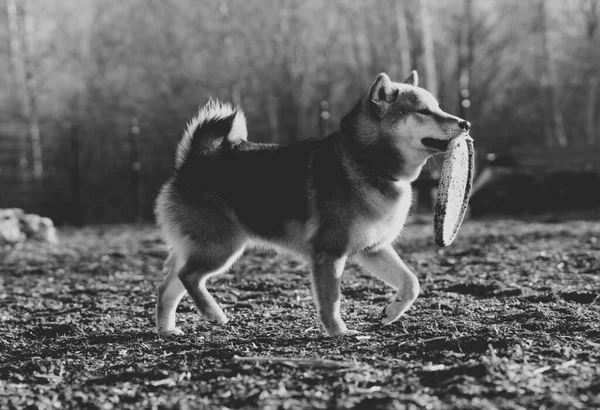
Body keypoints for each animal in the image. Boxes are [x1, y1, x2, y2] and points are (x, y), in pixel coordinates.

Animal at [154, 71, 468, 336]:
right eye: (424, 111)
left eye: (437, 107)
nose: (465, 123)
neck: (365, 160)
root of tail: (193, 161)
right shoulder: (329, 253)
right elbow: (331, 301)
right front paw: (339, 333)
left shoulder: (372, 249)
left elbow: (411, 282)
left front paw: (391, 311)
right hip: (221, 247)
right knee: (189, 277)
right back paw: (213, 313)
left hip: (200, 248)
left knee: (167, 287)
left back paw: (167, 330)